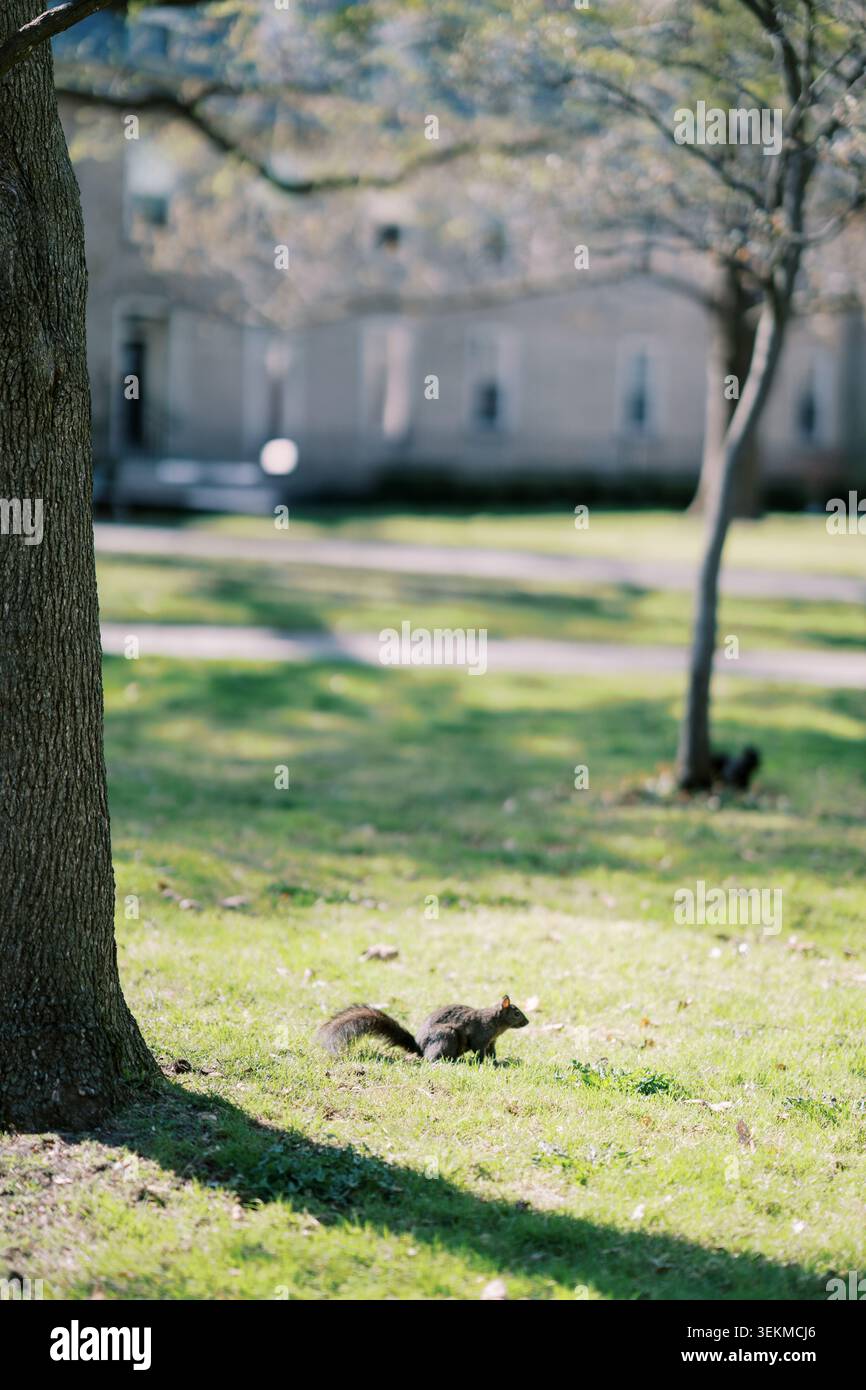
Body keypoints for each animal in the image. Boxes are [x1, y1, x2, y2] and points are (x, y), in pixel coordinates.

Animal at [317, 994, 529, 1063]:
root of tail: (419, 1047)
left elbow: (492, 1053)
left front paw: (496, 1062)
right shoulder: (480, 1036)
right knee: (432, 1058)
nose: (527, 1022)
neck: (496, 1023)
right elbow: (480, 1052)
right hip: (446, 1036)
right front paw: (483, 1063)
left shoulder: (491, 1042)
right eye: (517, 1013)